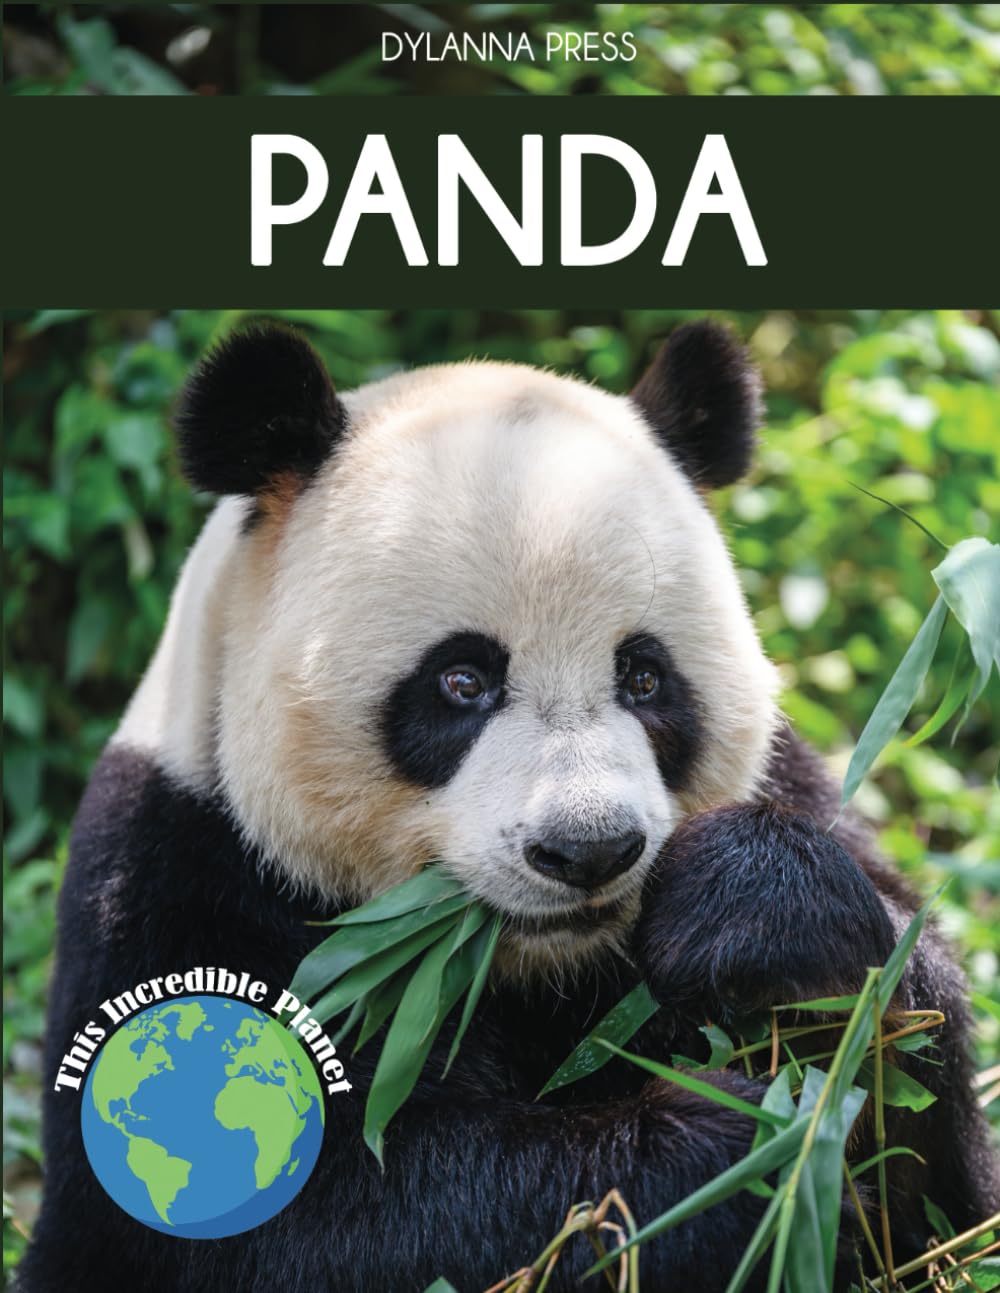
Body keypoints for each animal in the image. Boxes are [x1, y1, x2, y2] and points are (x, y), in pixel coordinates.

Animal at [22, 320, 997, 1293]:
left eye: (644, 676)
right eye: (462, 680)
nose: (589, 849)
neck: (543, 968)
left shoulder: (792, 781)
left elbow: (935, 1175)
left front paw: (768, 939)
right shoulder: (180, 879)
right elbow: (311, 1216)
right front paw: (729, 1166)